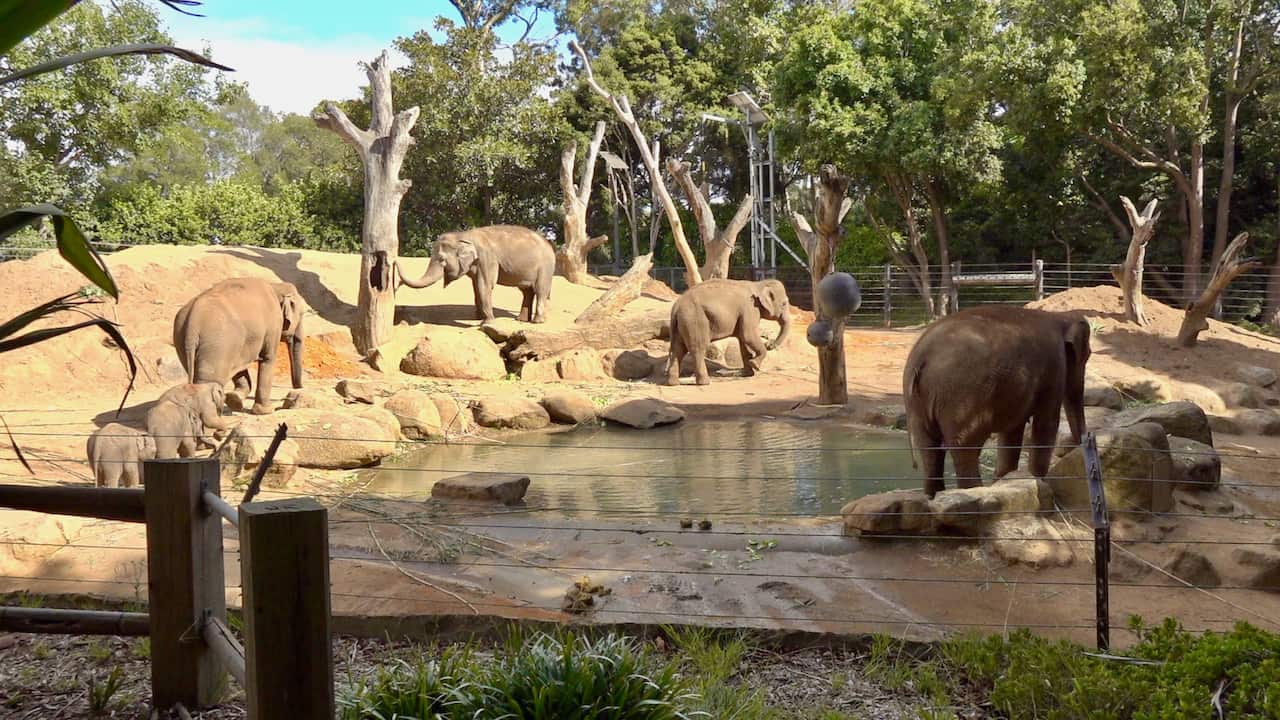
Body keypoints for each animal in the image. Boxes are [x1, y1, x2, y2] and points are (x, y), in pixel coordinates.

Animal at [173, 278, 305, 415]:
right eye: (302, 315)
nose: (298, 391)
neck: (276, 286)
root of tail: (193, 320)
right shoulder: (273, 327)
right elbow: (268, 359)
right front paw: (267, 411)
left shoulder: (239, 344)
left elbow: (239, 366)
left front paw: (235, 400)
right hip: (218, 343)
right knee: (210, 381)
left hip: (182, 339)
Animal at [396, 225, 555, 324]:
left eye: (441, 259)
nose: (395, 262)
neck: (463, 235)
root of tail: (550, 245)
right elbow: (476, 287)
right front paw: (478, 318)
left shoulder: (487, 258)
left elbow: (485, 285)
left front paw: (488, 322)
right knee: (527, 291)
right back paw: (521, 320)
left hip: (545, 267)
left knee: (540, 290)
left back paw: (537, 322)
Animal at [902, 305, 1092, 498]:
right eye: (1087, 356)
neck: (1060, 317)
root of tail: (922, 356)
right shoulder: (1054, 367)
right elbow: (1046, 424)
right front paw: (1038, 482)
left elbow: (1013, 431)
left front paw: (1004, 480)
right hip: (962, 399)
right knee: (964, 449)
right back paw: (974, 492)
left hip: (918, 402)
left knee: (930, 451)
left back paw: (933, 496)